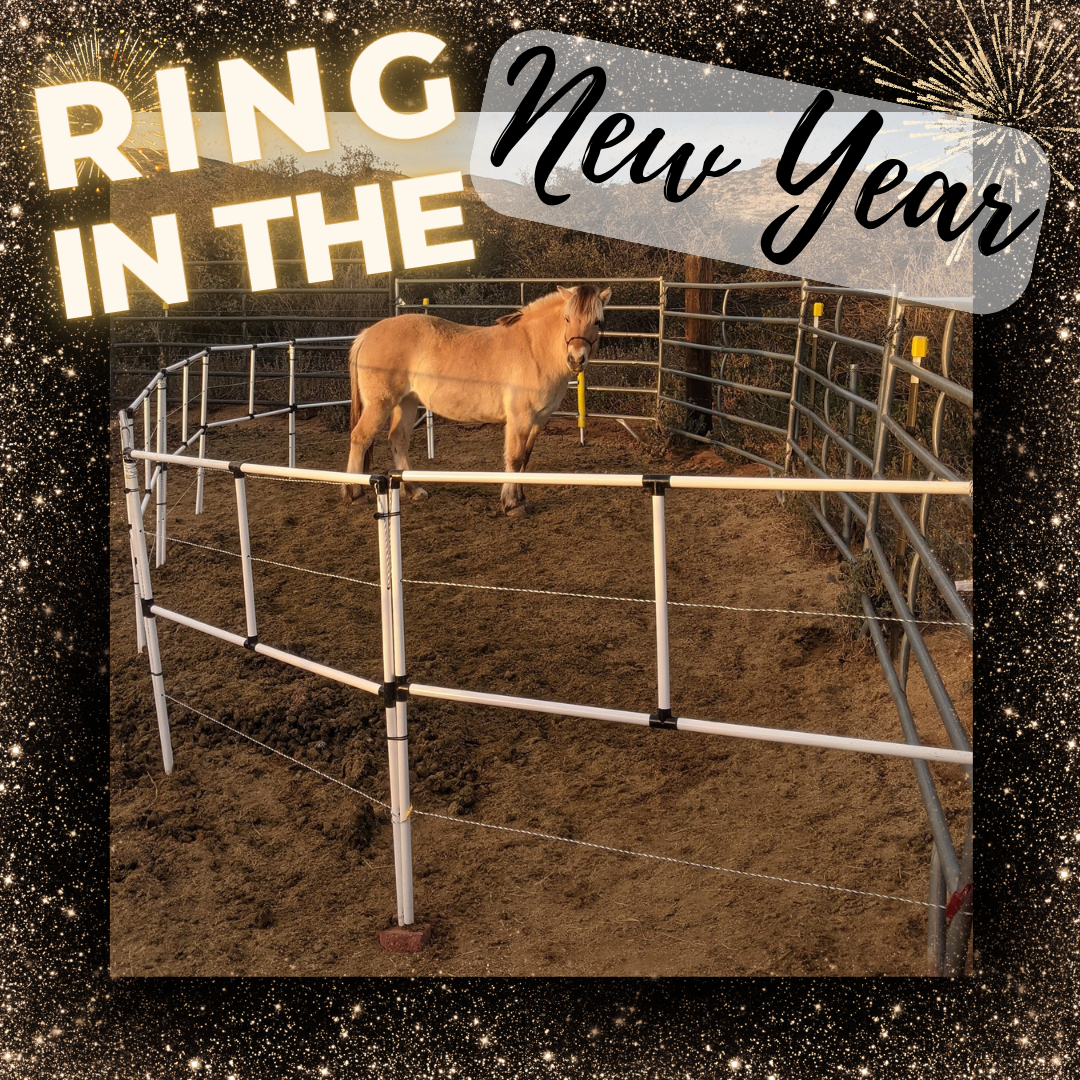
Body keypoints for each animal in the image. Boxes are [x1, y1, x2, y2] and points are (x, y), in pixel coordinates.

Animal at [342, 284, 611, 514]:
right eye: (567, 319)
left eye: (597, 321)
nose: (576, 359)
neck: (535, 349)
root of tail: (368, 333)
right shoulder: (520, 419)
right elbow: (514, 459)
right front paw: (512, 504)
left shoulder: (538, 420)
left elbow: (524, 459)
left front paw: (522, 499)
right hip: (380, 404)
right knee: (360, 437)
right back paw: (354, 493)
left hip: (406, 402)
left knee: (398, 439)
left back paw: (414, 490)